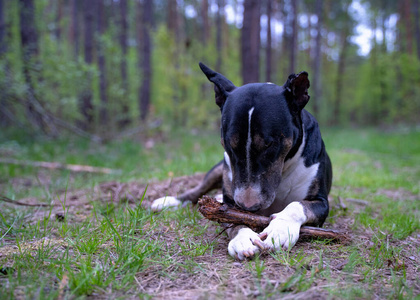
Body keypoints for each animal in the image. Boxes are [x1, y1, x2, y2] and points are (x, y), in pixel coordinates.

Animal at [151, 62, 332, 260]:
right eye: (229, 143)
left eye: (269, 144)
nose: (248, 206)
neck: (284, 169)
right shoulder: (229, 202)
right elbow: (233, 218)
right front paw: (243, 239)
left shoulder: (321, 202)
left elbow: (297, 205)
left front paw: (279, 230)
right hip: (218, 169)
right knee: (198, 190)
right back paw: (169, 201)